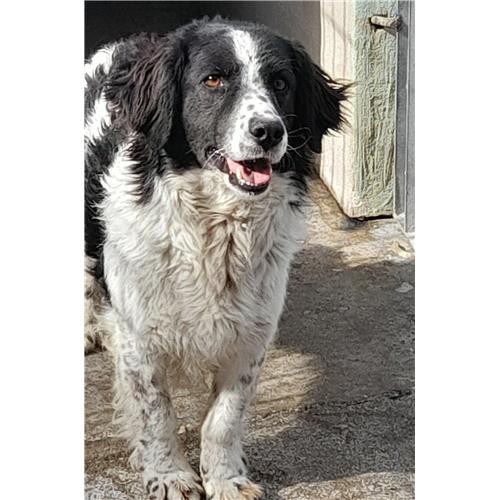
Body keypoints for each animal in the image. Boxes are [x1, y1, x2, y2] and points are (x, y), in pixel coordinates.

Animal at [85, 17, 347, 500]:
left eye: (281, 83)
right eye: (213, 80)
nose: (269, 131)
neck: (217, 228)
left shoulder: (251, 337)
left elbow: (224, 418)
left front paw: (226, 479)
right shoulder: (139, 337)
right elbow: (156, 413)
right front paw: (169, 475)